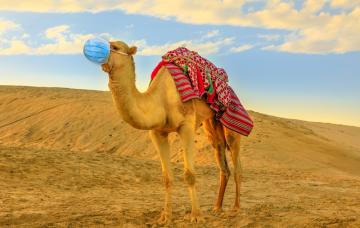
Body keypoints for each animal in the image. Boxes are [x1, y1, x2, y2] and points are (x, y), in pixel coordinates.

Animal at [100, 40, 242, 223]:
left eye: (115, 47)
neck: (160, 100)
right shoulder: (157, 133)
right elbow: (166, 178)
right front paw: (165, 217)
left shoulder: (186, 125)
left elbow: (189, 175)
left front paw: (196, 216)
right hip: (212, 124)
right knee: (221, 159)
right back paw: (217, 207)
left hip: (230, 121)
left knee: (236, 161)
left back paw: (236, 208)